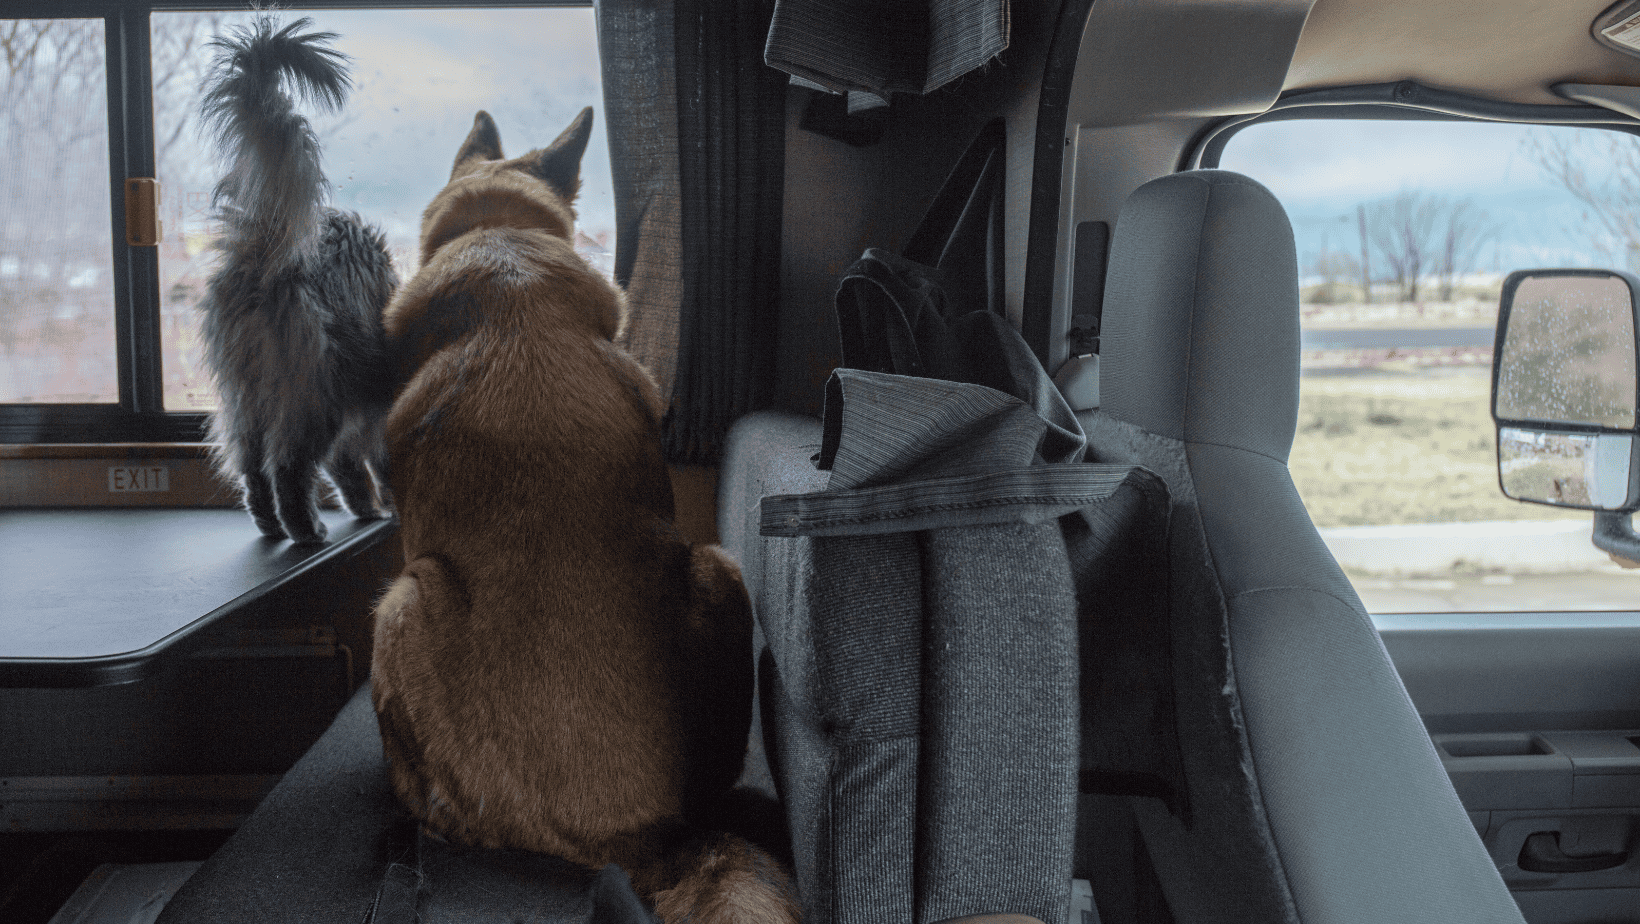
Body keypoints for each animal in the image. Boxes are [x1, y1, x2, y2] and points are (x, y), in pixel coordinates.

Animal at [197, 15, 397, 544]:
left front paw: (369, 507)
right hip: (314, 394)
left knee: (252, 466)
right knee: (287, 467)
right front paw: (383, 506)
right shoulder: (369, 413)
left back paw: (271, 526)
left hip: (246, 397)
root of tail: (270, 250)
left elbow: (351, 470)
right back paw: (306, 530)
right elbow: (364, 467)